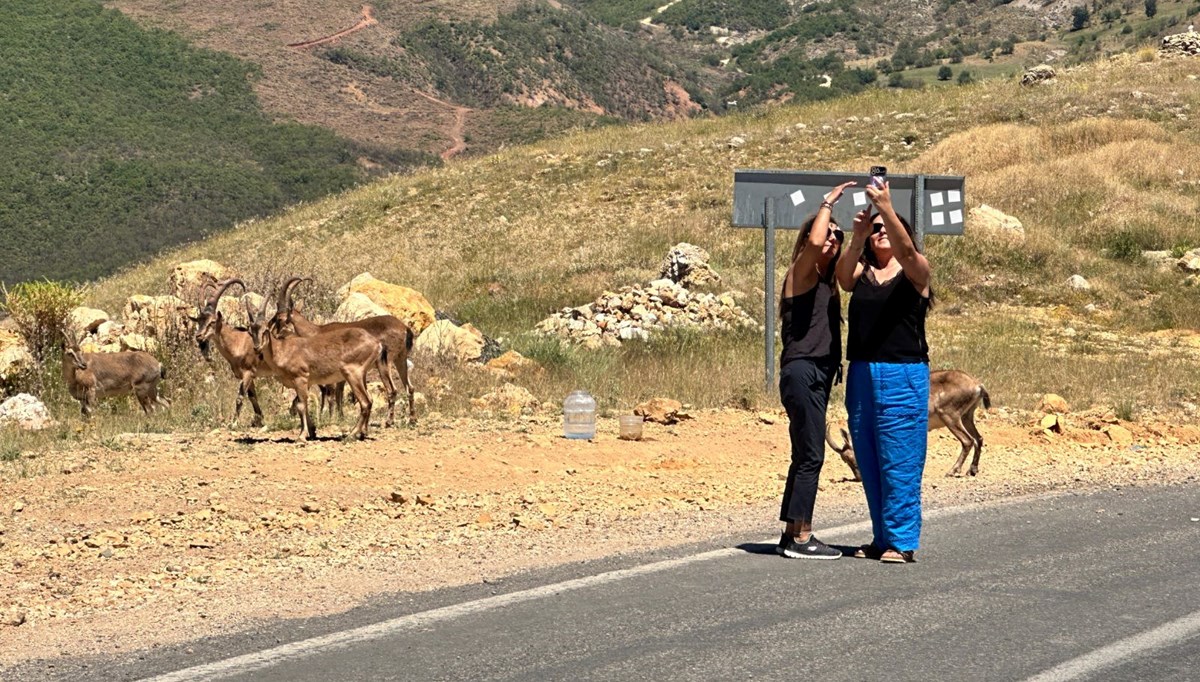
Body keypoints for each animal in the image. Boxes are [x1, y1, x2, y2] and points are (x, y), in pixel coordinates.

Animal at [830, 367, 988, 480]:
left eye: (849, 457)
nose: (859, 478)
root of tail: (977, 385)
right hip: (967, 416)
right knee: (978, 438)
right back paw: (972, 470)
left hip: (950, 416)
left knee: (968, 441)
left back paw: (952, 471)